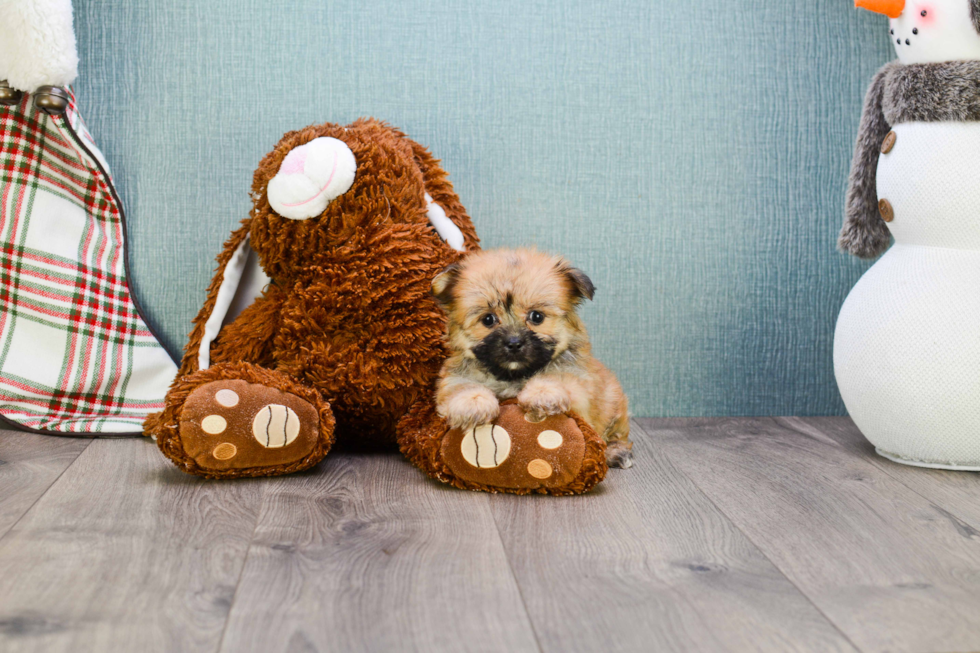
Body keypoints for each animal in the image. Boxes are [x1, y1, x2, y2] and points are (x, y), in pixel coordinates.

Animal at [430, 247, 632, 466]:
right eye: (488, 319)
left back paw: (616, 451)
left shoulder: (578, 387)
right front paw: (473, 403)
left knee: (617, 433)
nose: (514, 343)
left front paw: (542, 392)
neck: (513, 376)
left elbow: (557, 378)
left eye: (537, 317)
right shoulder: (452, 379)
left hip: (614, 403)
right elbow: (462, 386)